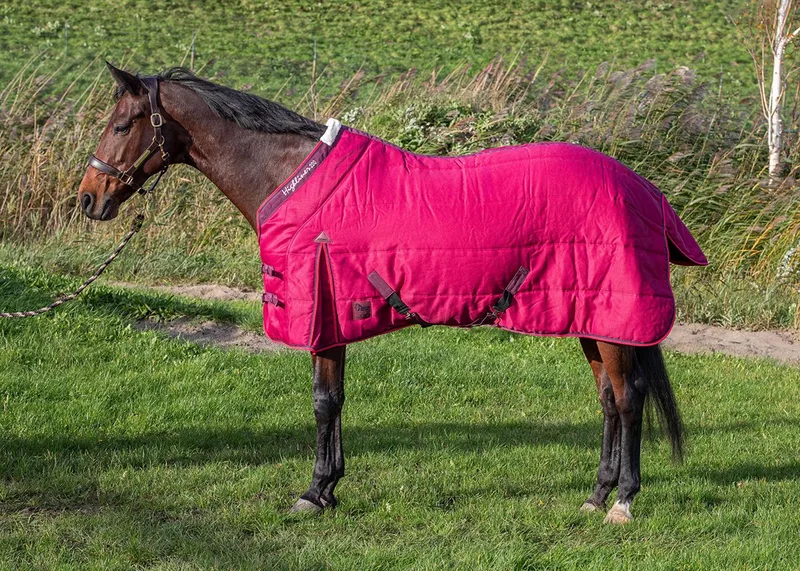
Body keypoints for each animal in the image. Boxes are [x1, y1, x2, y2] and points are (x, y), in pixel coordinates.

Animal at [78, 63, 707, 524]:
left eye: (121, 124)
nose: (88, 198)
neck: (288, 175)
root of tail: (642, 189)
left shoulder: (322, 316)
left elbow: (323, 403)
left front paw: (314, 492)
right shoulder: (332, 320)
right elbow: (333, 401)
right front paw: (327, 489)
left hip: (613, 321)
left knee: (628, 400)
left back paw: (622, 503)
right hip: (590, 319)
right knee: (608, 401)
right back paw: (596, 496)